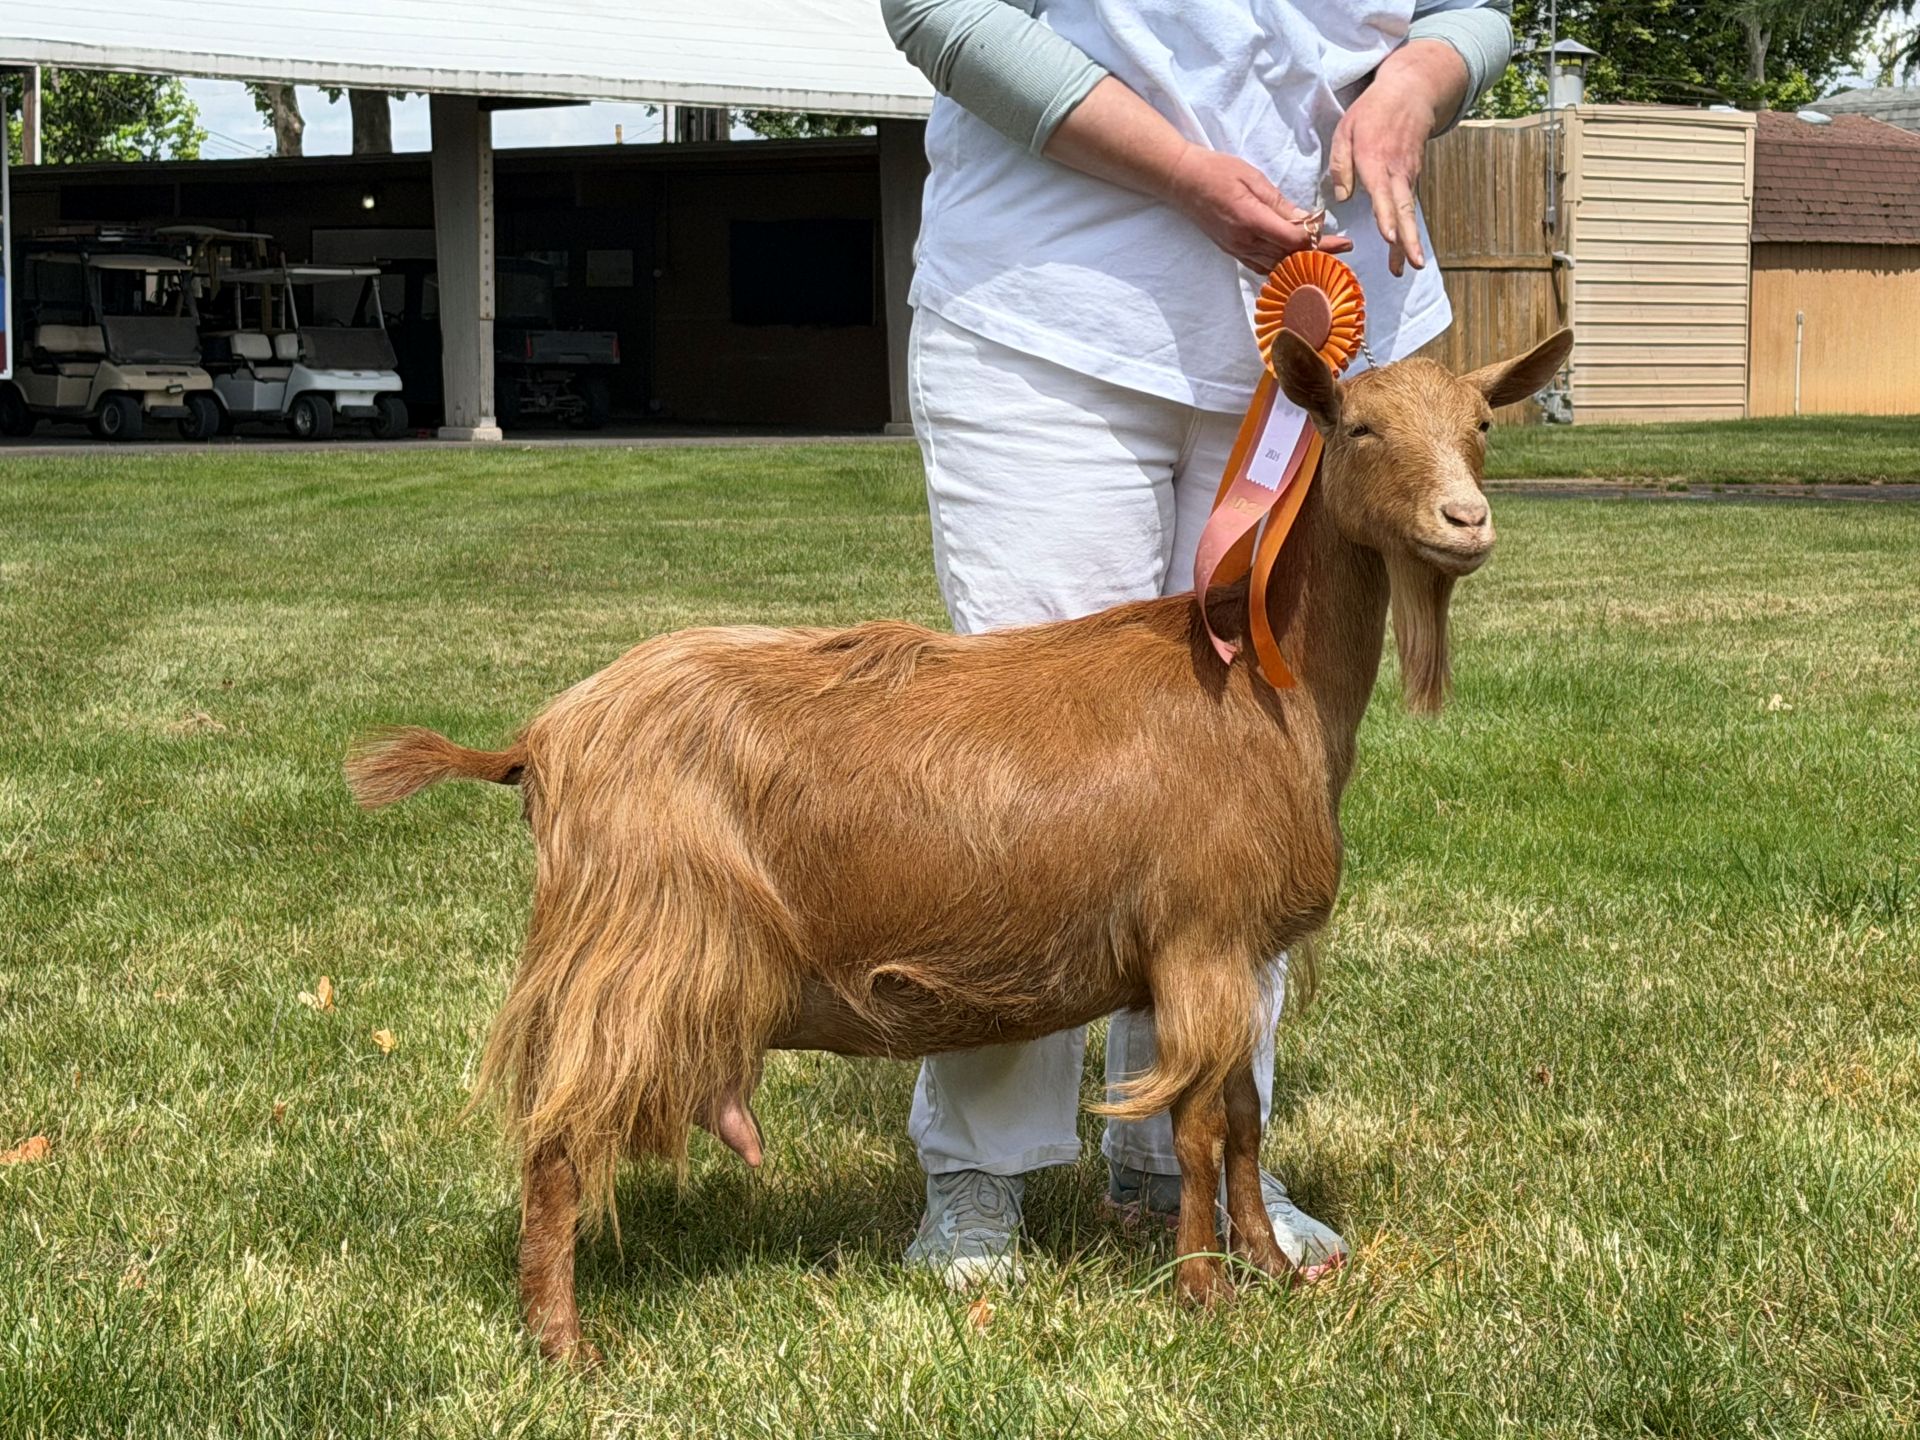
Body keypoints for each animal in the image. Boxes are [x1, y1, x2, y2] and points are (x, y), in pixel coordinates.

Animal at [347, 328, 1573, 1359]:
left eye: (1481, 423)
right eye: (1358, 427)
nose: (1465, 521)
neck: (1264, 691)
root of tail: (544, 738)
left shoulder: (1232, 952)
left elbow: (1242, 1123)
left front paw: (1269, 1266)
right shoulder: (1199, 941)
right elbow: (1189, 1131)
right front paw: (1203, 1294)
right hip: (636, 954)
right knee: (556, 1138)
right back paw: (565, 1350)